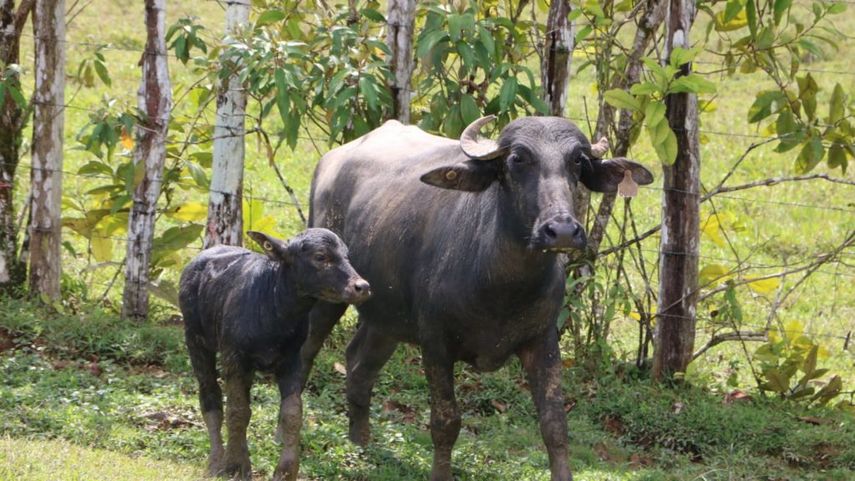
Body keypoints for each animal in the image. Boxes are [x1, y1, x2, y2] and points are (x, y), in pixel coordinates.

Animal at [301, 116, 653, 481]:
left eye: (578, 161)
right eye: (518, 159)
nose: (562, 231)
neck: (502, 288)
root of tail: (329, 162)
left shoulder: (543, 341)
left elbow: (555, 425)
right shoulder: (436, 344)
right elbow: (445, 422)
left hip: (386, 317)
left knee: (359, 364)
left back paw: (361, 443)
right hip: (328, 296)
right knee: (306, 352)